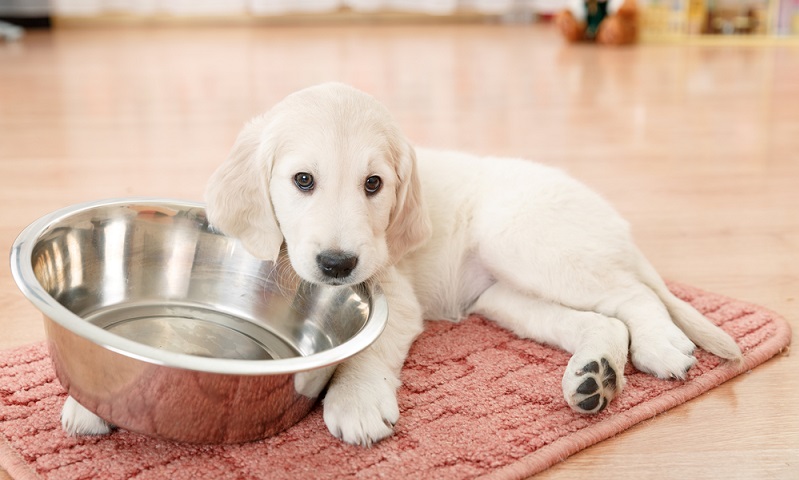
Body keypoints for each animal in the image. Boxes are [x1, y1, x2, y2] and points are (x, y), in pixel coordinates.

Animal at [61, 83, 744, 446]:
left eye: (374, 184)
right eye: (302, 180)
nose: (337, 264)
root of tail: (614, 223)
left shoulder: (393, 294)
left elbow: (367, 349)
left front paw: (357, 401)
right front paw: (95, 398)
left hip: (527, 240)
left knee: (634, 296)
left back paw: (661, 346)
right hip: (503, 299)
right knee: (601, 320)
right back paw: (594, 377)